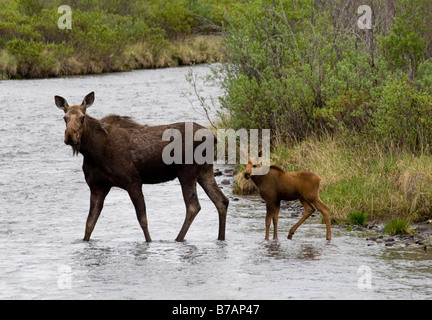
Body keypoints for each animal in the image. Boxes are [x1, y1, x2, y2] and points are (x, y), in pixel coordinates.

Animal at [54, 91, 230, 241]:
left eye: (82, 117)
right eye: (64, 117)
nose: (70, 136)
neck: (93, 152)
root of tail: (214, 137)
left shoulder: (133, 181)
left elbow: (143, 220)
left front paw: (150, 242)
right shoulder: (98, 186)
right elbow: (89, 225)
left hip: (187, 172)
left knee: (193, 206)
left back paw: (178, 239)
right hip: (204, 171)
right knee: (221, 200)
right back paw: (220, 238)